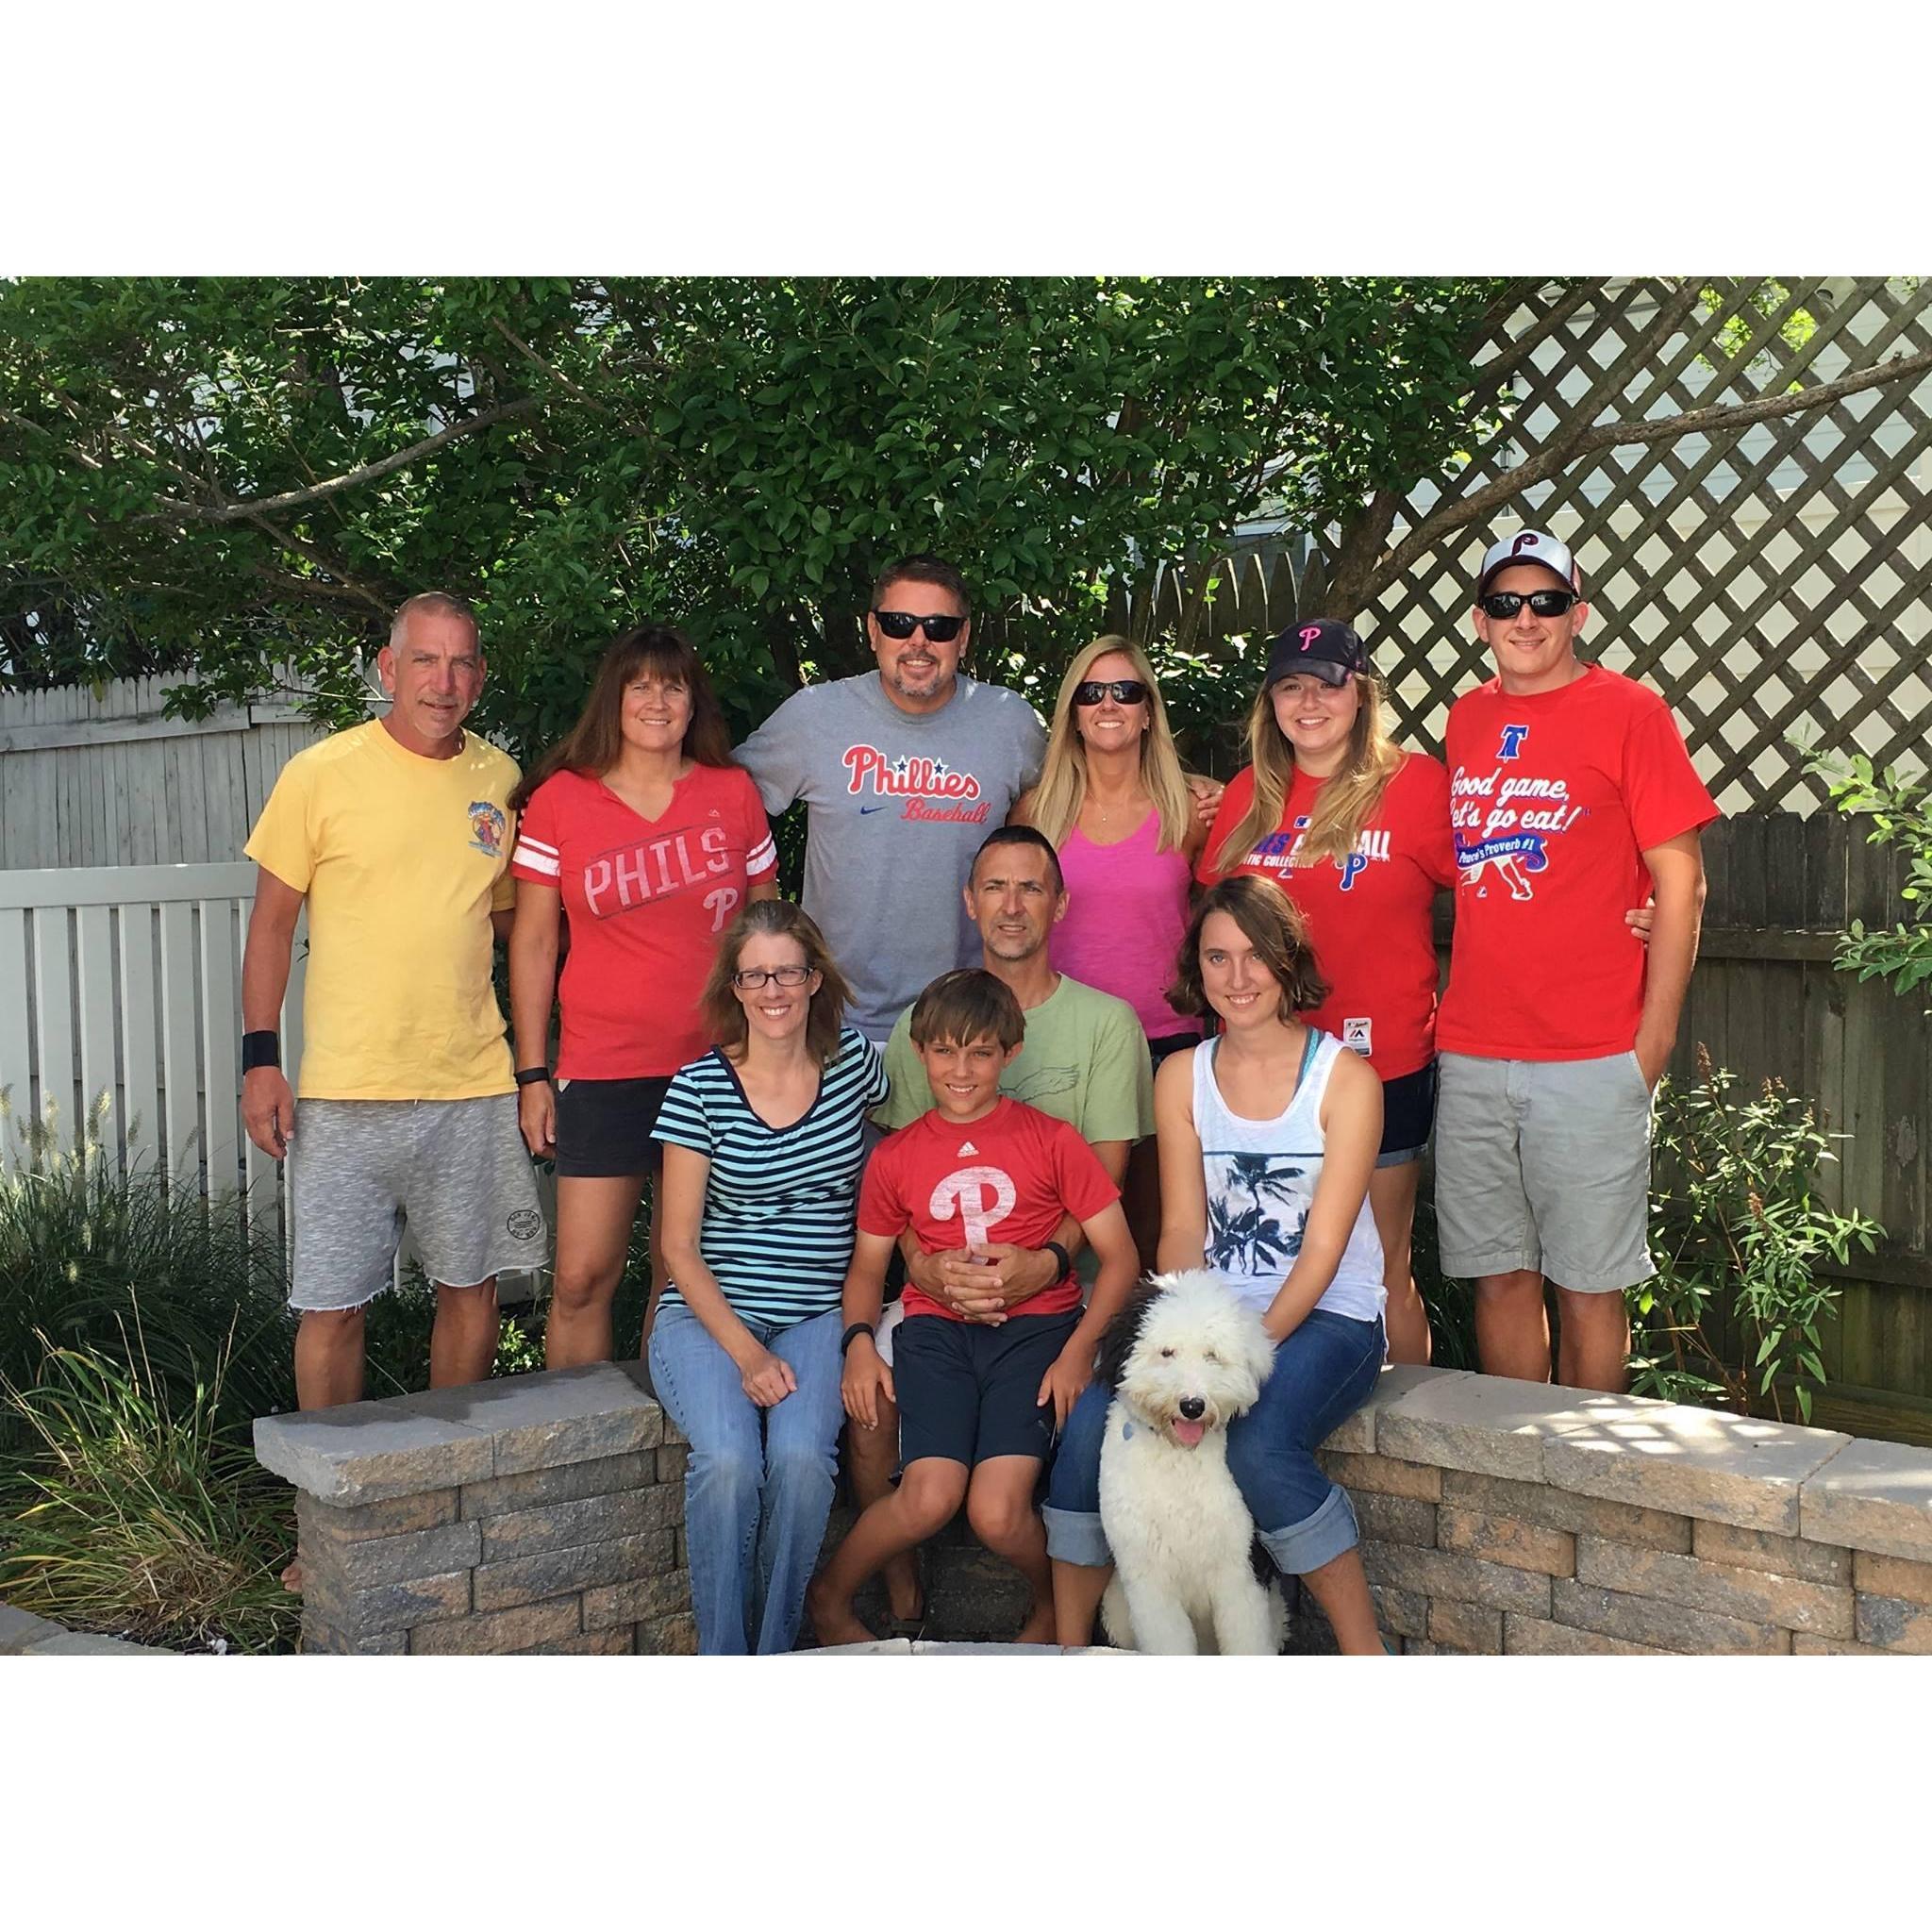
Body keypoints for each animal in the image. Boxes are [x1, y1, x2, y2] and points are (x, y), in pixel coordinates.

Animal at [1097, 1267, 1291, 1661]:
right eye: (1166, 1352)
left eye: (1212, 1355)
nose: (1192, 1405)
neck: (1179, 1461)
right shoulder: (1148, 1578)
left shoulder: (1240, 1567)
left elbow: (1246, 1639)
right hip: (1117, 1611)